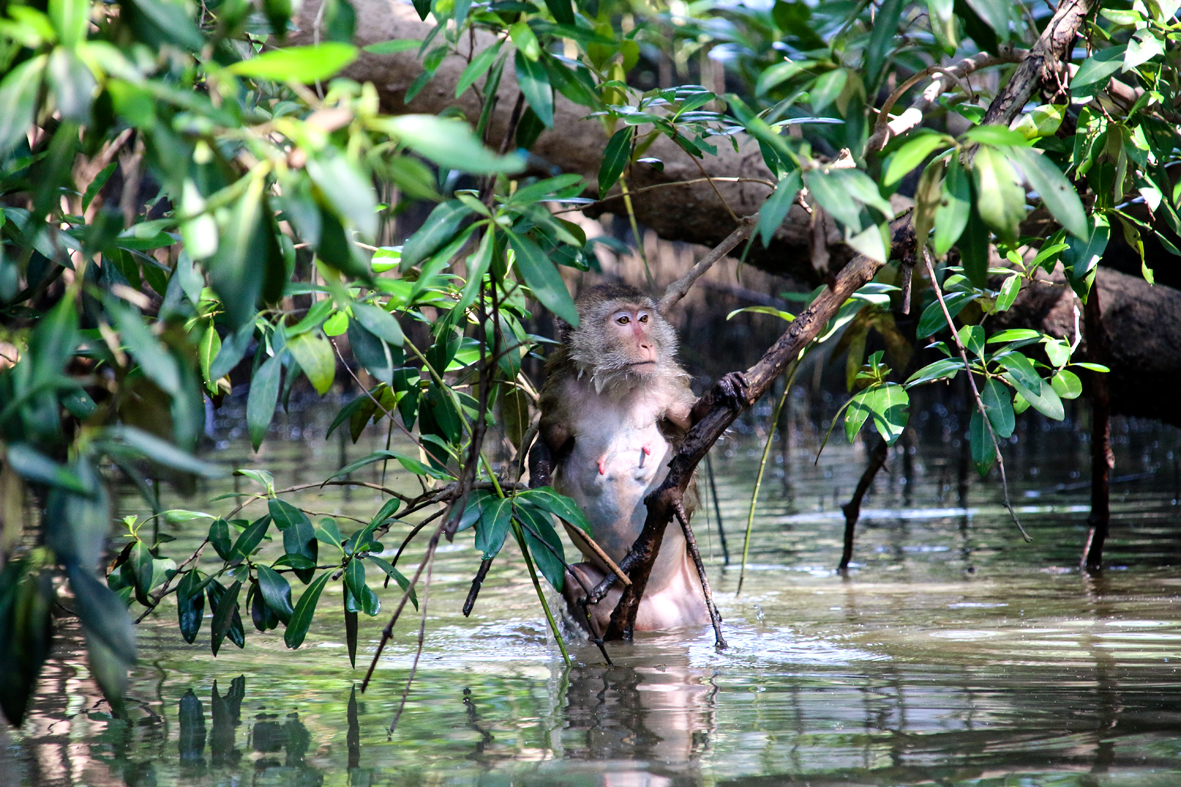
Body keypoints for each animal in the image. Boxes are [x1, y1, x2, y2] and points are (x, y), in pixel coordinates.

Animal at [531, 282, 722, 633]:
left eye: (644, 318)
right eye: (623, 321)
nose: (647, 343)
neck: (616, 387)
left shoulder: (665, 381)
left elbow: (688, 421)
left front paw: (722, 391)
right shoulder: (562, 389)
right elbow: (549, 440)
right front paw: (537, 488)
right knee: (573, 577)